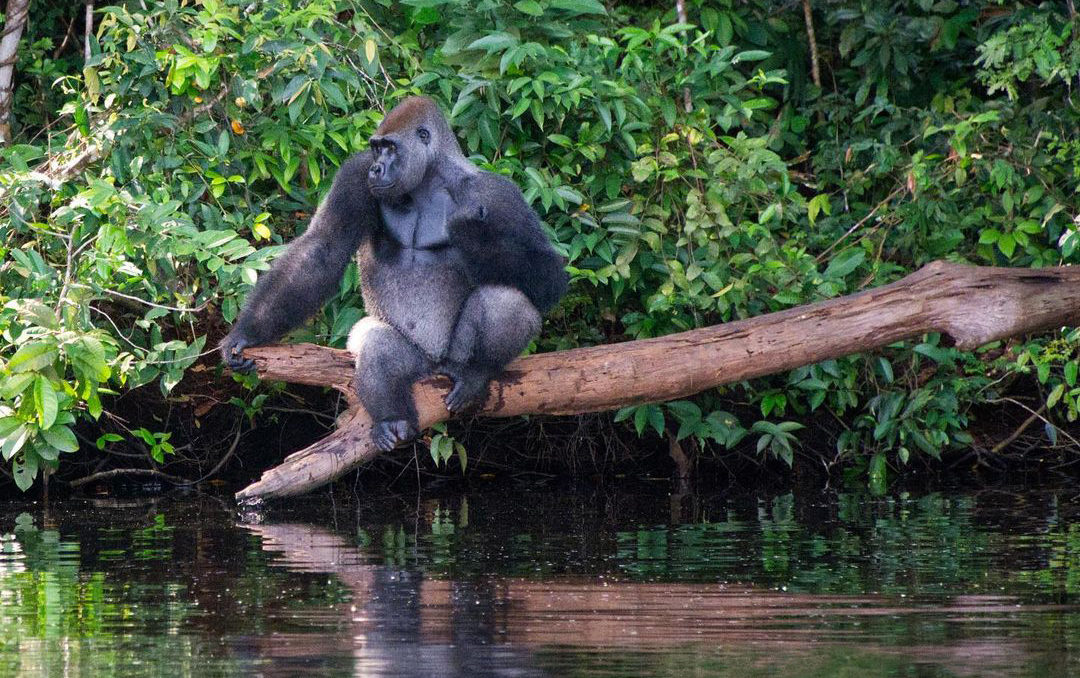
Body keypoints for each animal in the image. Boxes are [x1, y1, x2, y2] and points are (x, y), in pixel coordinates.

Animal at [222, 95, 570, 453]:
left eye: (390, 148)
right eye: (375, 150)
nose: (377, 168)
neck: (430, 180)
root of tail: (435, 368)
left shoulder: (498, 194)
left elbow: (549, 273)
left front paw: (472, 233)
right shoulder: (355, 175)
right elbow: (322, 250)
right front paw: (248, 333)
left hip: (452, 359)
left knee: (507, 299)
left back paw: (476, 373)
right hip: (416, 364)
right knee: (377, 342)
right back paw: (393, 419)